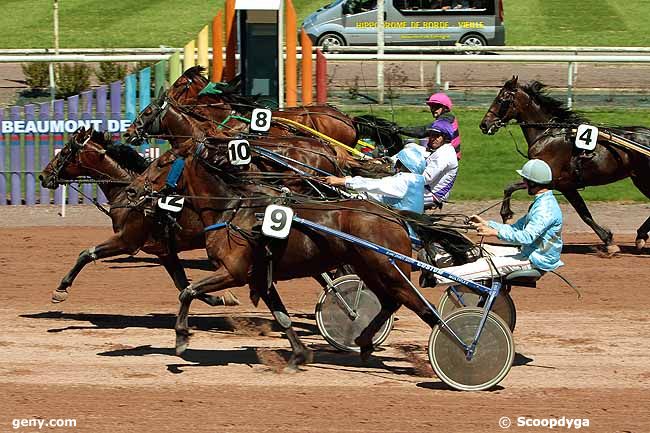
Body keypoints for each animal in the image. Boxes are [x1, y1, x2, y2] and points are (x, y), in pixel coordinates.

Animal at [38, 126, 235, 306]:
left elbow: (86, 254)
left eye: (64, 152)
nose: (43, 176)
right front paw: (221, 298)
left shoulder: (127, 241)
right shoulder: (164, 251)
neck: (131, 196)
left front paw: (61, 289)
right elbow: (181, 283)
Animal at [131, 146, 442, 368]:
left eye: (161, 162)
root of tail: (396, 218)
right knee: (390, 303)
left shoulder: (232, 272)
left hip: (387, 268)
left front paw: (181, 338)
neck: (232, 211)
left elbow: (188, 291)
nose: (133, 189)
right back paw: (365, 341)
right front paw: (299, 355)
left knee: (419, 307)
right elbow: (282, 317)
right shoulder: (259, 276)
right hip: (370, 269)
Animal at [476, 77, 648, 253]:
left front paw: (507, 216)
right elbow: (584, 213)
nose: (484, 124)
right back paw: (640, 236)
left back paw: (641, 236)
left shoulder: (554, 180)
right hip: (639, 179)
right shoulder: (566, 186)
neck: (548, 135)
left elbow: (510, 187)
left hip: (643, 180)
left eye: (500, 99)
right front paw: (608, 240)